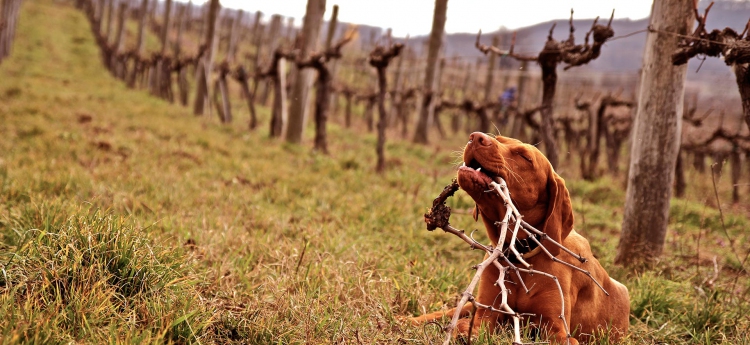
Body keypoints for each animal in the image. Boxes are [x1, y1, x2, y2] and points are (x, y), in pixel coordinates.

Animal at [414, 132, 632, 344]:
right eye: (499, 139)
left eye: (524, 157)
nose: (475, 137)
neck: (519, 255)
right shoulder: (485, 315)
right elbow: (468, 326)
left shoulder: (558, 331)